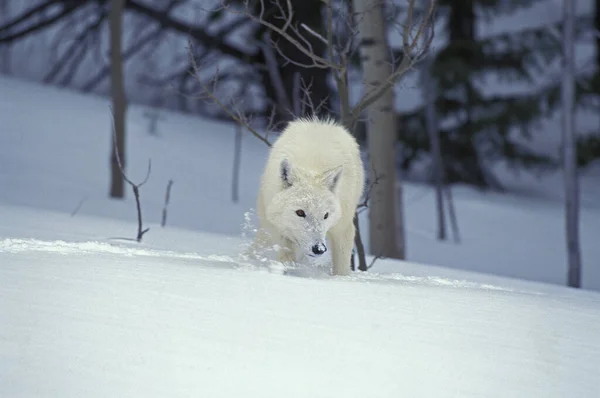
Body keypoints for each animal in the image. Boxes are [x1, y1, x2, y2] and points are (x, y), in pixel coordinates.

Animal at [250, 116, 364, 276]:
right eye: (300, 213)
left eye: (325, 215)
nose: (319, 249)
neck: (312, 166)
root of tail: (320, 122)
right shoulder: (279, 228)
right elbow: (286, 257)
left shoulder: (342, 228)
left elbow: (341, 266)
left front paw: (340, 278)